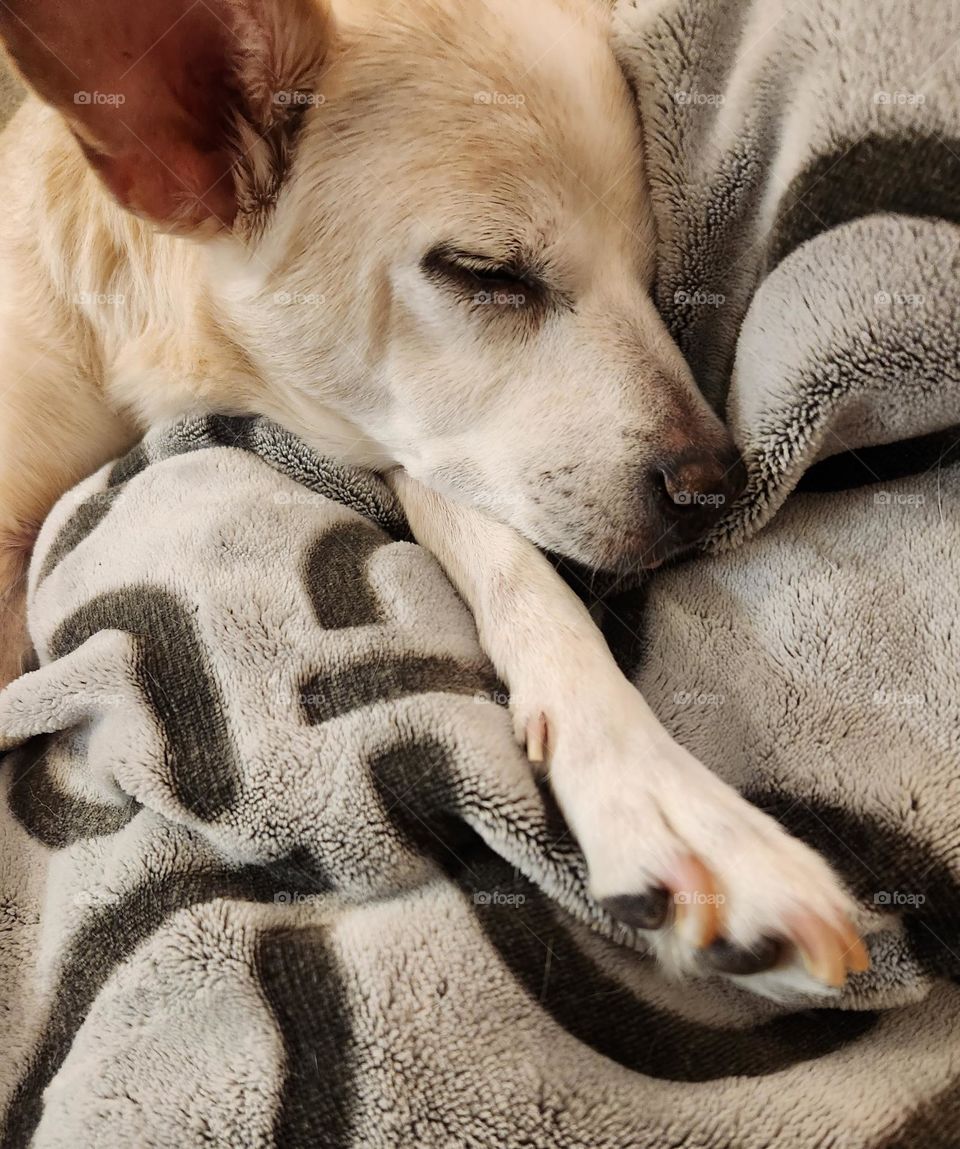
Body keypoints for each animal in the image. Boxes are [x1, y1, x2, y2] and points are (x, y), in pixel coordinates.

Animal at [0, 0, 868, 992]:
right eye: (486, 272)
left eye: (650, 277)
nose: (716, 487)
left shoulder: (415, 451)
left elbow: (516, 566)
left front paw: (655, 784)